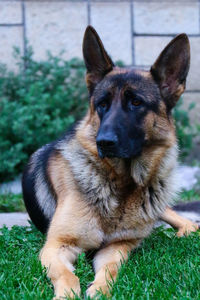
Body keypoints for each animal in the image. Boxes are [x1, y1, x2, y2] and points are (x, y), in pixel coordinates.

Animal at [22, 27, 198, 298]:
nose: (103, 142)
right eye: (102, 104)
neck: (121, 184)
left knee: (184, 221)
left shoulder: (118, 246)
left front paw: (101, 289)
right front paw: (66, 294)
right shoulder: (56, 245)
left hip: (160, 206)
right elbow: (67, 276)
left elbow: (111, 269)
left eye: (136, 102)